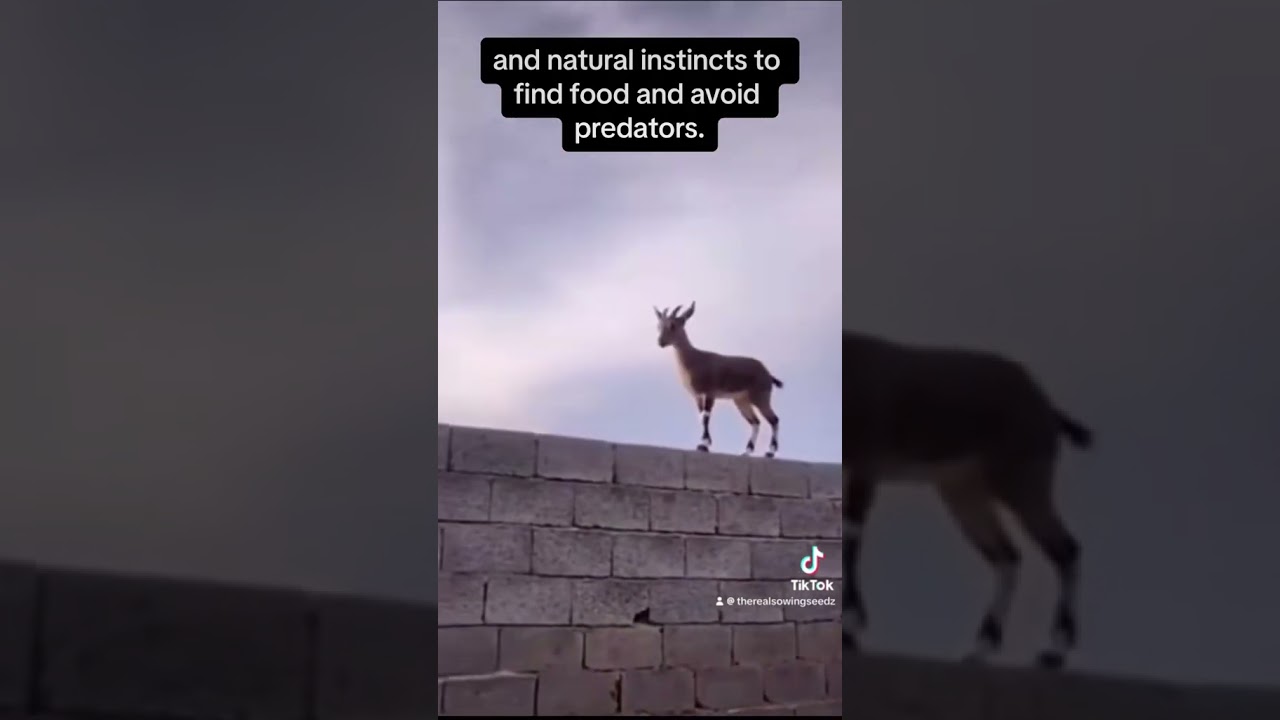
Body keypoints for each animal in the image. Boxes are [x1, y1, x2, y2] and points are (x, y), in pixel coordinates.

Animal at [654, 302, 784, 457]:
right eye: (659, 325)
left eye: (673, 325)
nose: (660, 342)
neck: (694, 359)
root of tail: (768, 374)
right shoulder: (697, 395)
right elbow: (701, 416)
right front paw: (705, 443)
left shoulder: (710, 392)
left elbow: (706, 416)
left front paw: (704, 445)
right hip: (741, 400)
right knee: (756, 422)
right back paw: (746, 451)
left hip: (760, 397)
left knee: (774, 420)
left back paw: (770, 452)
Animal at [840, 329, 1092, 670]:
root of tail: (1046, 407)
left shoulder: (865, 465)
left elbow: (850, 535)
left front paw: (850, 626)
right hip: (966, 493)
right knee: (1008, 556)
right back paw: (979, 650)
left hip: (1020, 483)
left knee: (1064, 550)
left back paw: (1053, 652)